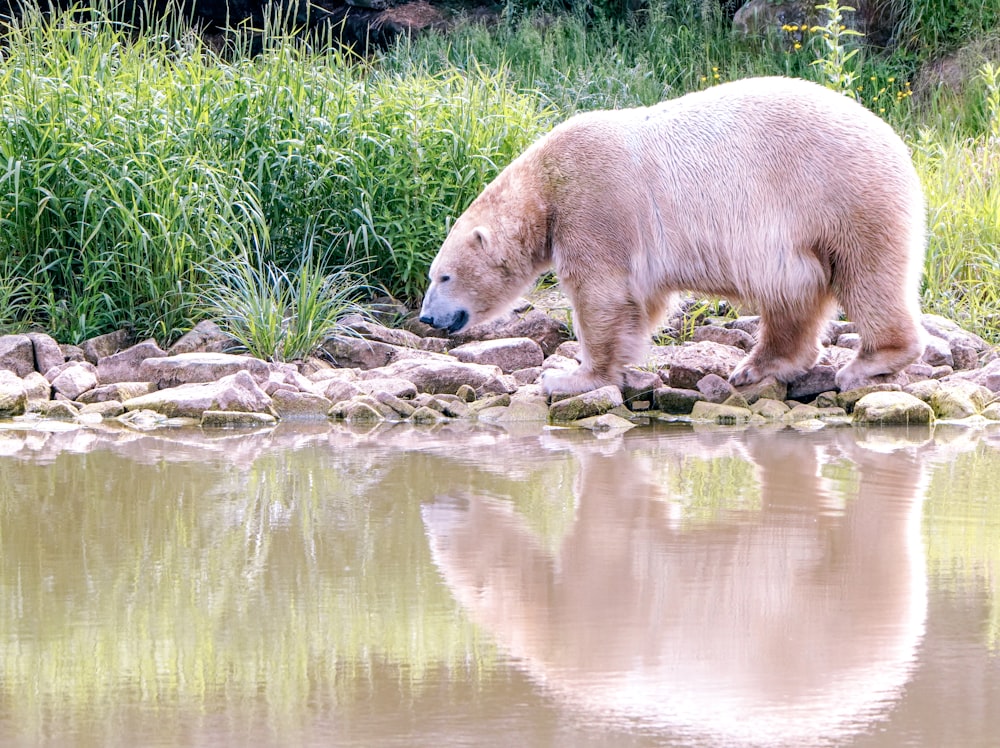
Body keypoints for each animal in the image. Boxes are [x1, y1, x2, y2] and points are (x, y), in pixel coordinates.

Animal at [416, 76, 920, 394]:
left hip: (841, 194)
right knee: (794, 293)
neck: (544, 185)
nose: (426, 317)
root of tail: (895, 139)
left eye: (443, 276)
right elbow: (641, 302)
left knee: (867, 276)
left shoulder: (595, 204)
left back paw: (868, 363)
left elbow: (601, 295)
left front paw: (568, 377)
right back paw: (755, 368)